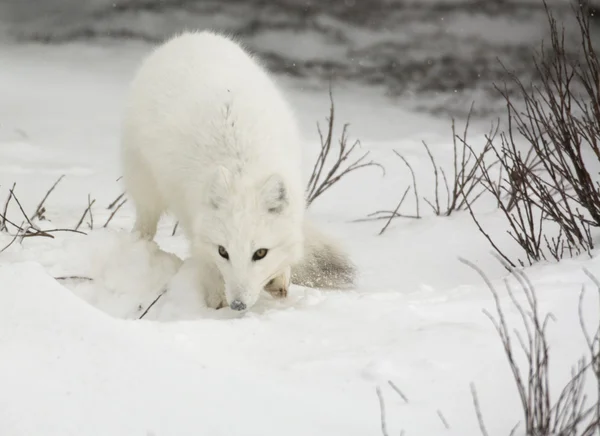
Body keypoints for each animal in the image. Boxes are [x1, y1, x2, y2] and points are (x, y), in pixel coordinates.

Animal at [122, 31, 356, 310]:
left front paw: (279, 278)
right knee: (145, 222)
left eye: (260, 253)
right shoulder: (196, 223)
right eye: (223, 252)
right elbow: (206, 261)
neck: (242, 169)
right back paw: (139, 248)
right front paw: (216, 299)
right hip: (144, 182)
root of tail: (192, 35)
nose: (238, 305)